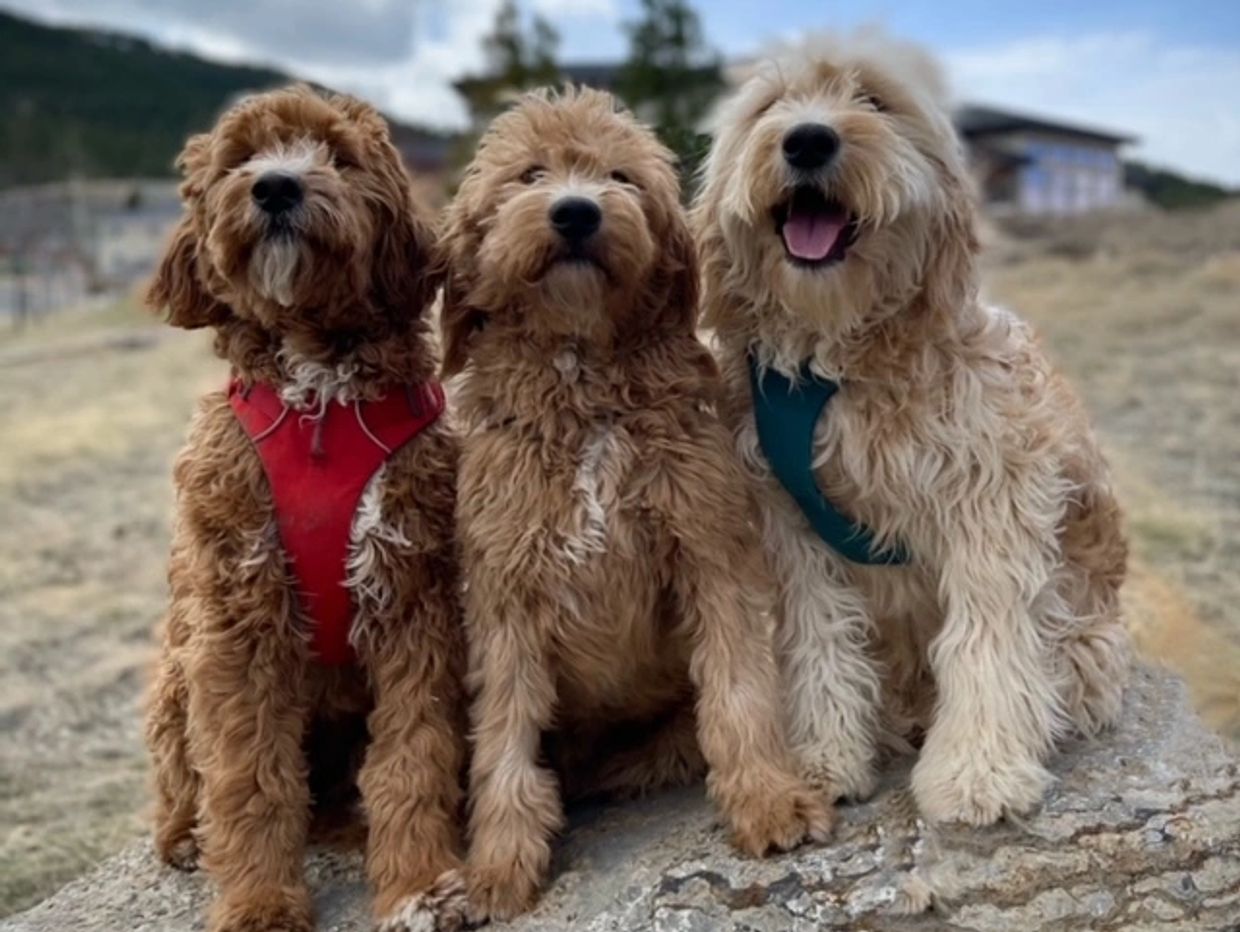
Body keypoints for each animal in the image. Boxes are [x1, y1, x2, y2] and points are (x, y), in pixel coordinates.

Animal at [141, 87, 468, 931]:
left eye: (339, 158)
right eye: (240, 159)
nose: (276, 188)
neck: (318, 396)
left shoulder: (412, 599)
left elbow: (413, 755)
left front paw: (421, 883)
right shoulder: (236, 619)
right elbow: (248, 776)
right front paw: (259, 902)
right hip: (176, 671)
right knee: (185, 774)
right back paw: (183, 836)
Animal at [438, 89, 833, 927]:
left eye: (620, 176)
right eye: (530, 174)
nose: (576, 212)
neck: (583, 380)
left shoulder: (711, 549)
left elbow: (739, 692)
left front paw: (767, 798)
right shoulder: (504, 594)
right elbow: (503, 743)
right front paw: (498, 864)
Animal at [694, 34, 1130, 822]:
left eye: (873, 99)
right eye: (771, 105)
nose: (807, 140)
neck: (836, 360)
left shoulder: (993, 496)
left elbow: (987, 636)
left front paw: (978, 770)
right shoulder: (788, 519)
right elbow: (821, 635)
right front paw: (824, 759)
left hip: (1087, 641)